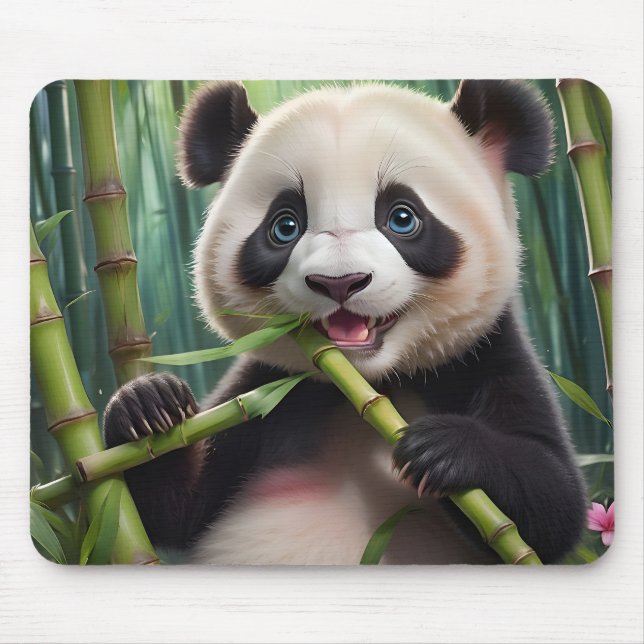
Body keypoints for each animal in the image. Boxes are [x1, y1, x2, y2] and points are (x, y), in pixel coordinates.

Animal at [104, 80, 586, 565]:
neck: (367, 387)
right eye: (284, 226)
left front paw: (441, 449)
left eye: (403, 217)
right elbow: (172, 509)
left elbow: (552, 505)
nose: (339, 282)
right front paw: (149, 405)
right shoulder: (267, 391)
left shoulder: (482, 357)